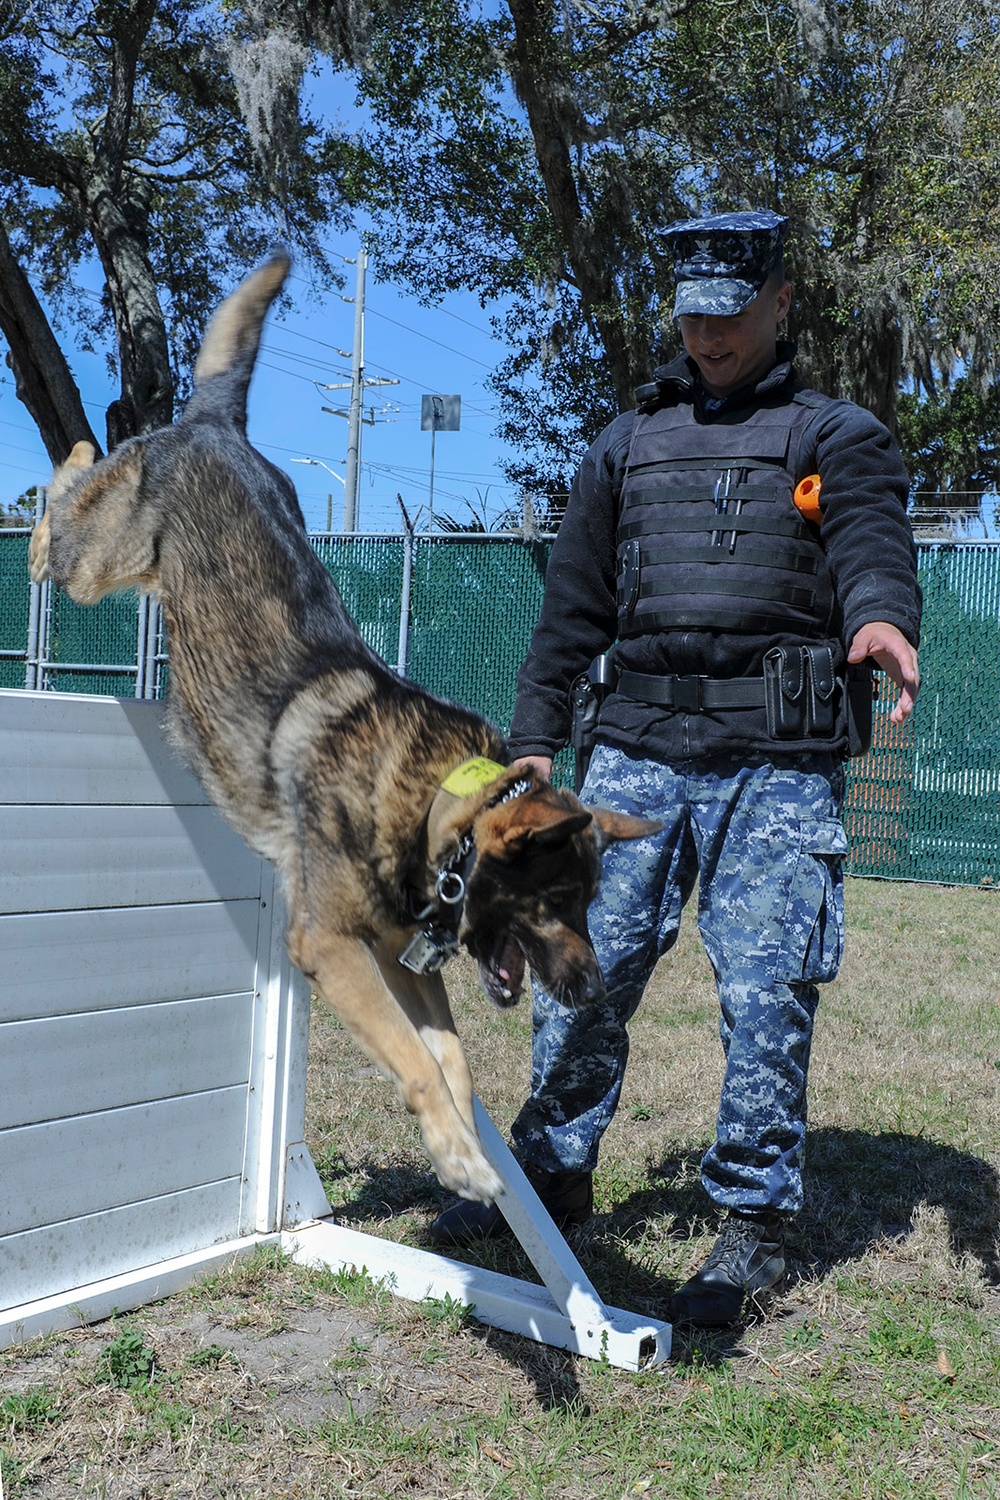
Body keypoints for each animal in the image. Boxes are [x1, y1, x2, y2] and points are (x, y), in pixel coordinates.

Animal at [27, 252, 656, 1200]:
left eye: (588, 905)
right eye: (554, 904)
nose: (591, 996)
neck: (433, 808)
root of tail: (216, 426)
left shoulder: (404, 966)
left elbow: (450, 1061)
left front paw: (461, 1148)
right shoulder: (329, 946)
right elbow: (417, 1061)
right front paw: (462, 1158)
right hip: (100, 563)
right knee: (59, 515)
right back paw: (57, 474)